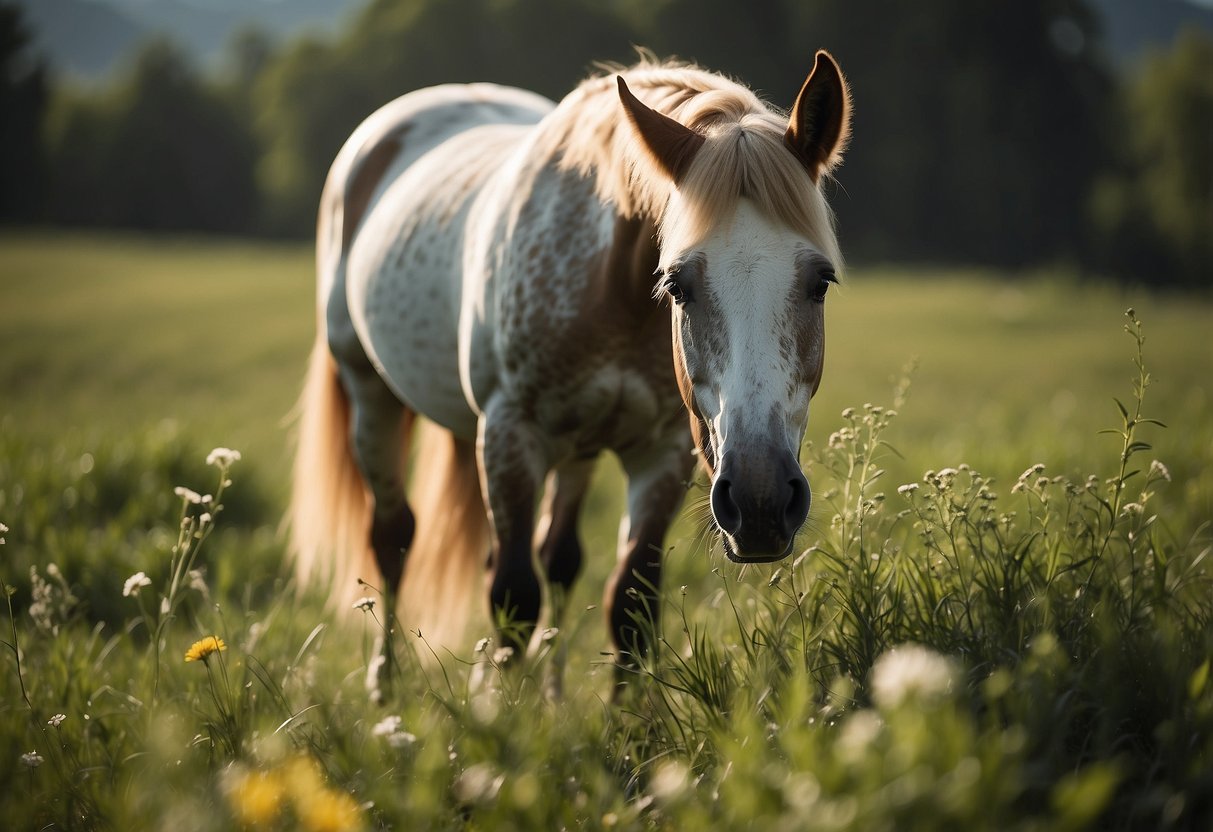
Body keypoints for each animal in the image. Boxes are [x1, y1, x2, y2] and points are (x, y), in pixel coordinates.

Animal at [287, 48, 849, 693]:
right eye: (677, 284)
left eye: (820, 281)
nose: (760, 502)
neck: (612, 282)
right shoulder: (510, 434)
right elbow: (513, 597)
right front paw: (504, 714)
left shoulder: (661, 453)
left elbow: (628, 603)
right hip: (371, 394)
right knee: (394, 537)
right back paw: (386, 685)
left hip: (575, 449)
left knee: (556, 556)